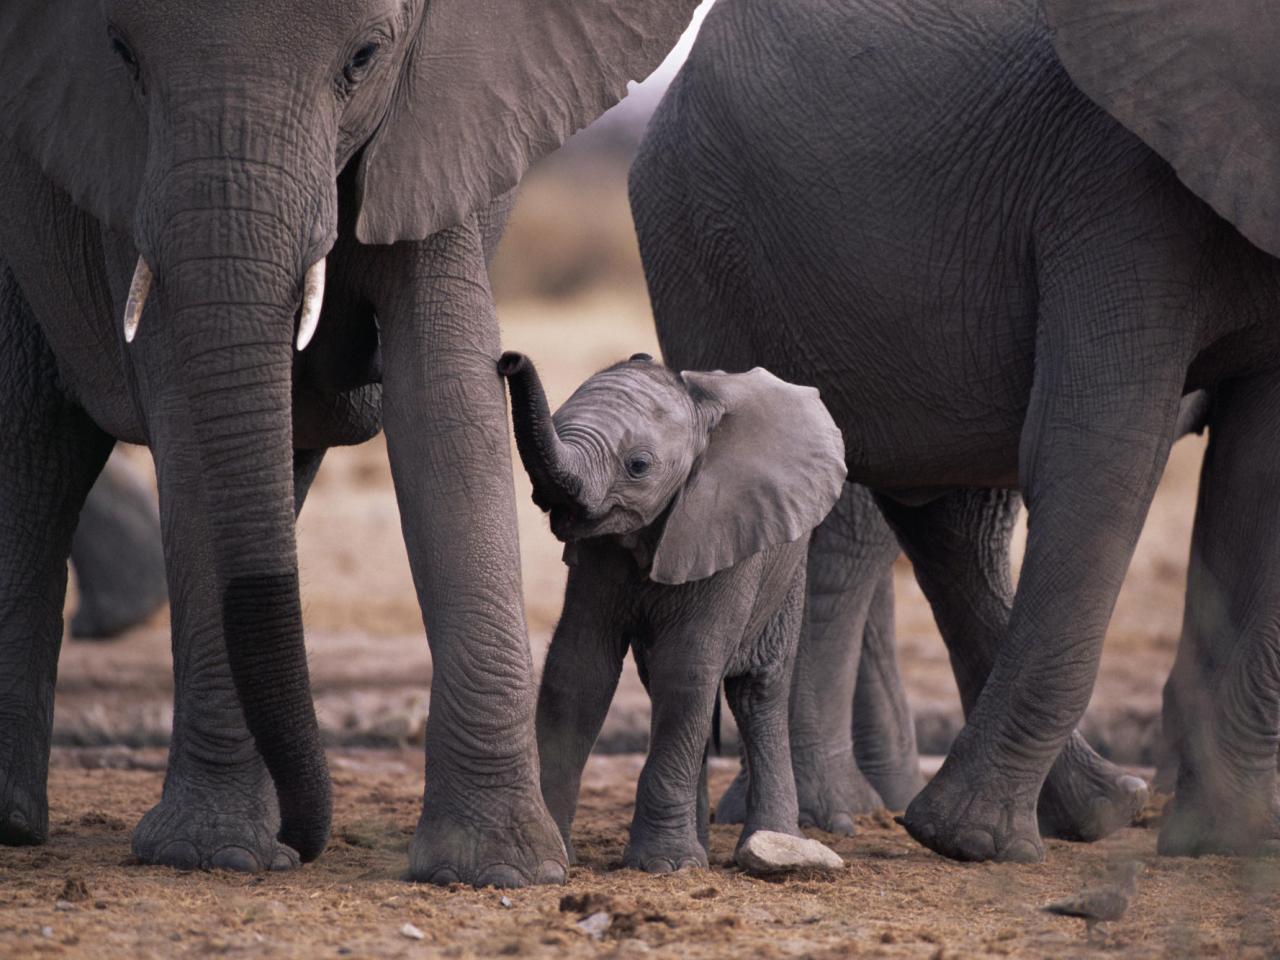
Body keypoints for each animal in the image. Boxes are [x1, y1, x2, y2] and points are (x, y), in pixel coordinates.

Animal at [2, 0, 701, 885]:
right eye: (123, 56)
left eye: (364, 58)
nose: (304, 844)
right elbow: (186, 408)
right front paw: (210, 855)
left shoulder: (440, 129)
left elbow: (448, 402)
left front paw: (496, 870)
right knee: (36, 454)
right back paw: (19, 825)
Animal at [501, 355, 849, 880]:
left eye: (638, 466)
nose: (509, 360)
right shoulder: (599, 553)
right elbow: (578, 672)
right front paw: (559, 853)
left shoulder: (725, 528)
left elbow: (685, 670)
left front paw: (665, 866)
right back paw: (700, 846)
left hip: (788, 571)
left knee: (756, 692)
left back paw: (770, 842)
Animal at [634, 0, 1280, 865]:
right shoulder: (1115, 188)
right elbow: (1099, 458)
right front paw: (969, 841)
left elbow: (1258, 479)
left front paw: (1225, 837)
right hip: (700, 237)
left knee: (944, 514)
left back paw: (1099, 809)